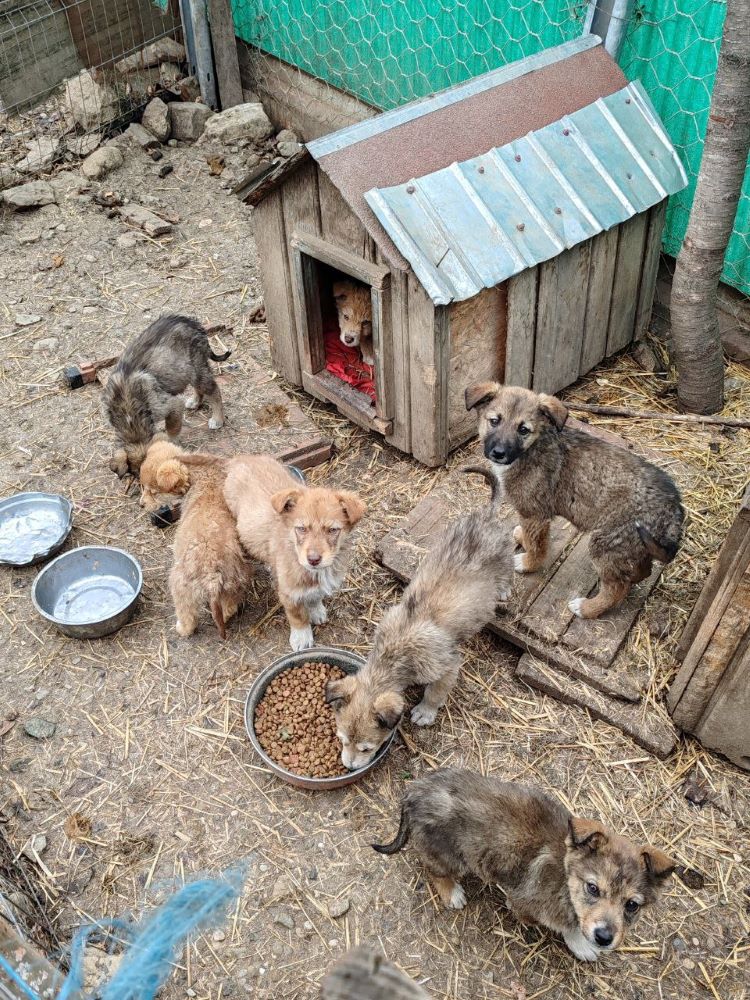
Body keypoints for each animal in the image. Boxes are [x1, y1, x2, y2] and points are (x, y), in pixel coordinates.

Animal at [141, 442, 256, 636]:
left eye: (153, 492)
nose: (141, 504)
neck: (198, 471)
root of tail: (211, 574)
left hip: (179, 583)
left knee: (187, 614)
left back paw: (181, 628)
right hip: (234, 582)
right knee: (229, 608)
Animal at [223, 456, 368, 656]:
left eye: (332, 530)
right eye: (301, 529)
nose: (313, 560)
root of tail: (242, 457)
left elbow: (315, 596)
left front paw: (316, 611)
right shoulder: (289, 592)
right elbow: (297, 616)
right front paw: (302, 637)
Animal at [326, 468, 516, 772]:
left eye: (367, 747)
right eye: (341, 739)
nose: (350, 767)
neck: (394, 654)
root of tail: (488, 515)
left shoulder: (448, 666)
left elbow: (434, 693)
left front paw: (426, 712)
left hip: (505, 558)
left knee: (510, 568)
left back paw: (505, 589)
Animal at [374, 764, 680, 960]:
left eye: (632, 905)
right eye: (593, 888)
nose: (604, 938)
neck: (565, 878)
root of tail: (413, 792)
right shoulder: (524, 906)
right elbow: (561, 925)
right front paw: (580, 944)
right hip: (449, 855)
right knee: (433, 869)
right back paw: (452, 893)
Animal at [470, 382, 688, 616]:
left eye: (523, 430)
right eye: (494, 421)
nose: (498, 453)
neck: (531, 449)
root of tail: (674, 507)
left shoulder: (535, 514)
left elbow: (536, 546)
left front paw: (528, 563)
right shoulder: (534, 517)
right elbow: (532, 538)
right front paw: (521, 536)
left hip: (606, 544)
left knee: (617, 588)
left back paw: (587, 608)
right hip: (632, 547)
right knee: (640, 571)